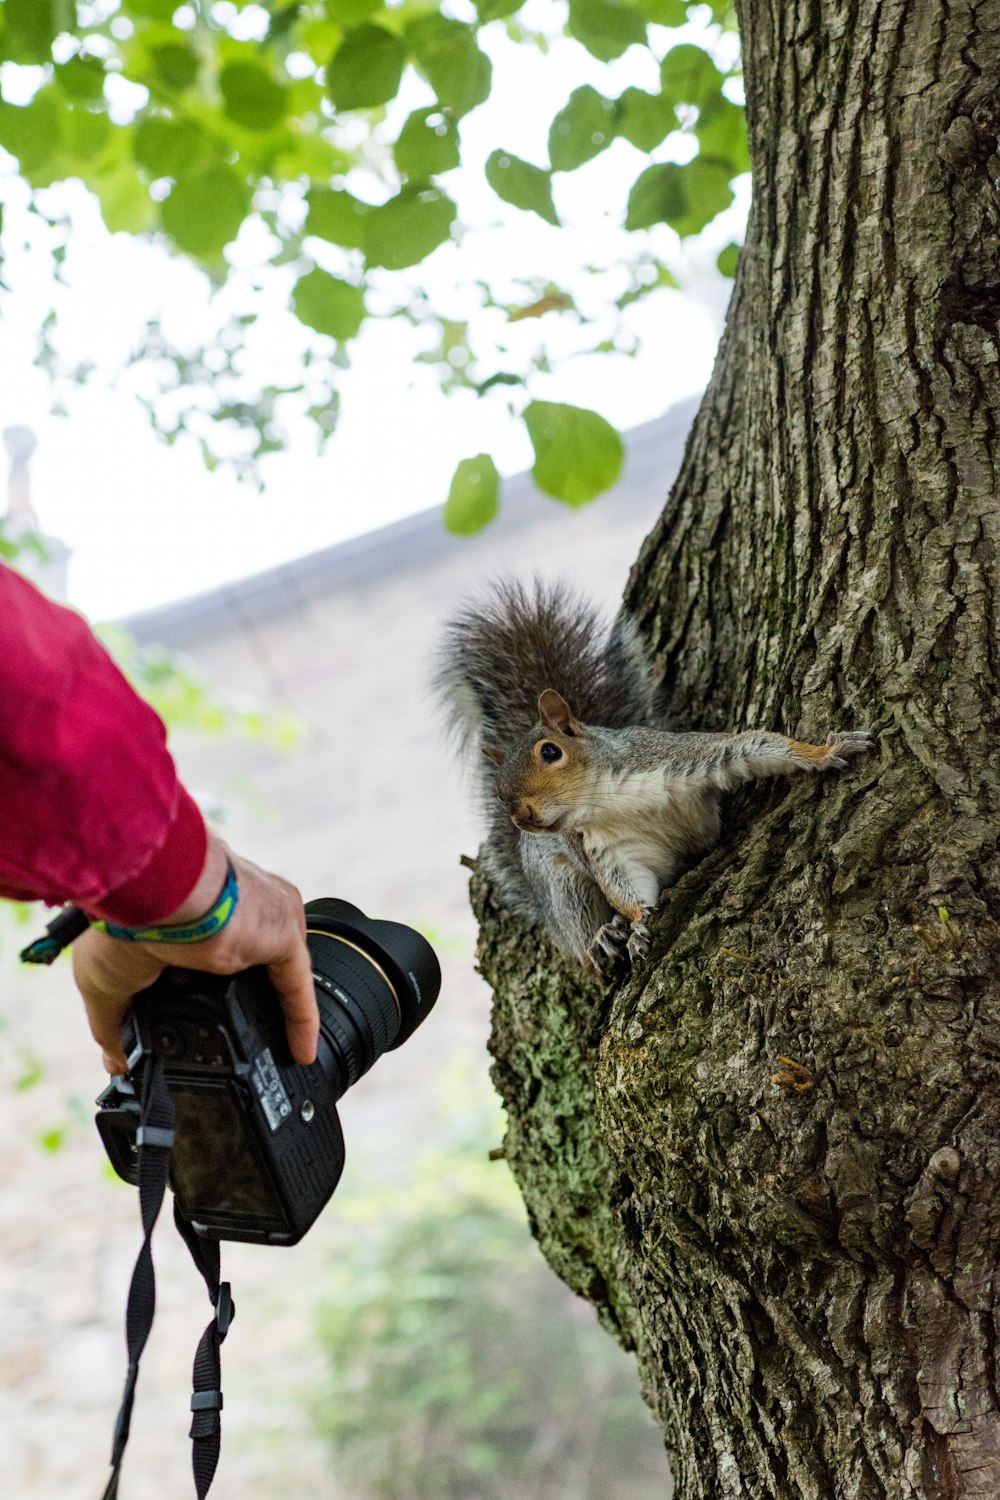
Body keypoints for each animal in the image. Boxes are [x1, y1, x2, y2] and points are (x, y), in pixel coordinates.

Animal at [437, 579, 875, 978]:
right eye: (497, 791)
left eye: (550, 752)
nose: (521, 817)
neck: (604, 800)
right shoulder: (605, 851)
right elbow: (626, 888)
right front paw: (638, 922)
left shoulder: (678, 759)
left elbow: (752, 748)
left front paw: (825, 752)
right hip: (559, 883)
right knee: (579, 943)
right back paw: (602, 937)